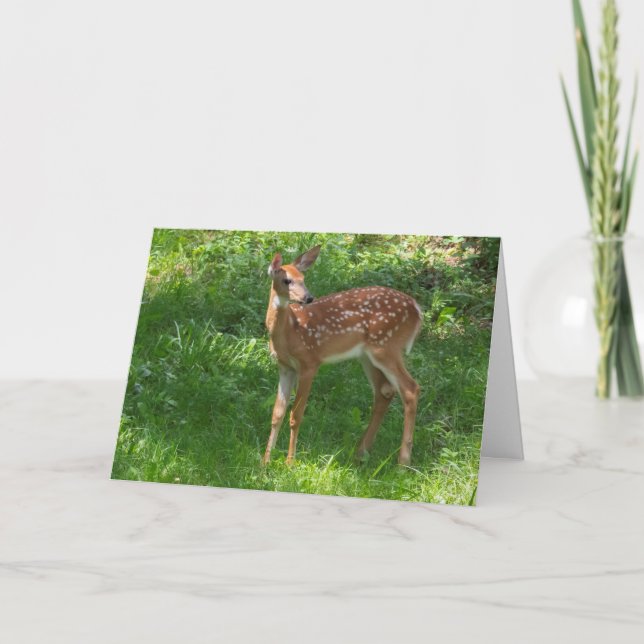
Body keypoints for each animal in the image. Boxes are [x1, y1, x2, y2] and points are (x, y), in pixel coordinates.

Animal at [263, 245, 422, 467]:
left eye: (303, 278)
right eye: (287, 280)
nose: (308, 298)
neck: (290, 332)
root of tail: (417, 309)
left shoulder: (310, 362)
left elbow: (296, 415)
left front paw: (289, 462)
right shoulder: (285, 367)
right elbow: (277, 413)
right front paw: (265, 462)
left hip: (387, 347)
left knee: (410, 388)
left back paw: (403, 462)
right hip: (368, 355)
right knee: (385, 391)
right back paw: (361, 452)